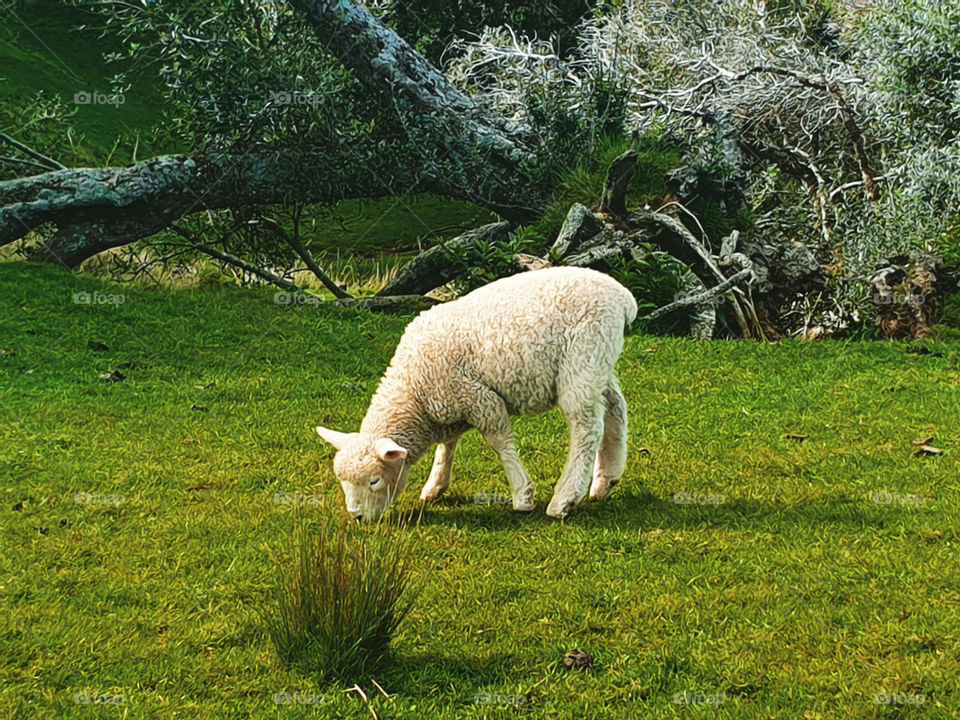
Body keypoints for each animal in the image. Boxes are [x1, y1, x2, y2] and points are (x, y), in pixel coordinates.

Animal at [316, 266, 637, 520]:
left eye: (374, 481)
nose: (357, 517)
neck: (415, 392)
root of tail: (623, 297)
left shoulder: (480, 399)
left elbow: (500, 443)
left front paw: (523, 495)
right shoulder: (449, 403)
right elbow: (447, 445)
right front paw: (435, 485)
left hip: (583, 357)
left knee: (587, 428)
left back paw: (565, 499)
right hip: (599, 361)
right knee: (615, 409)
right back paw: (606, 480)